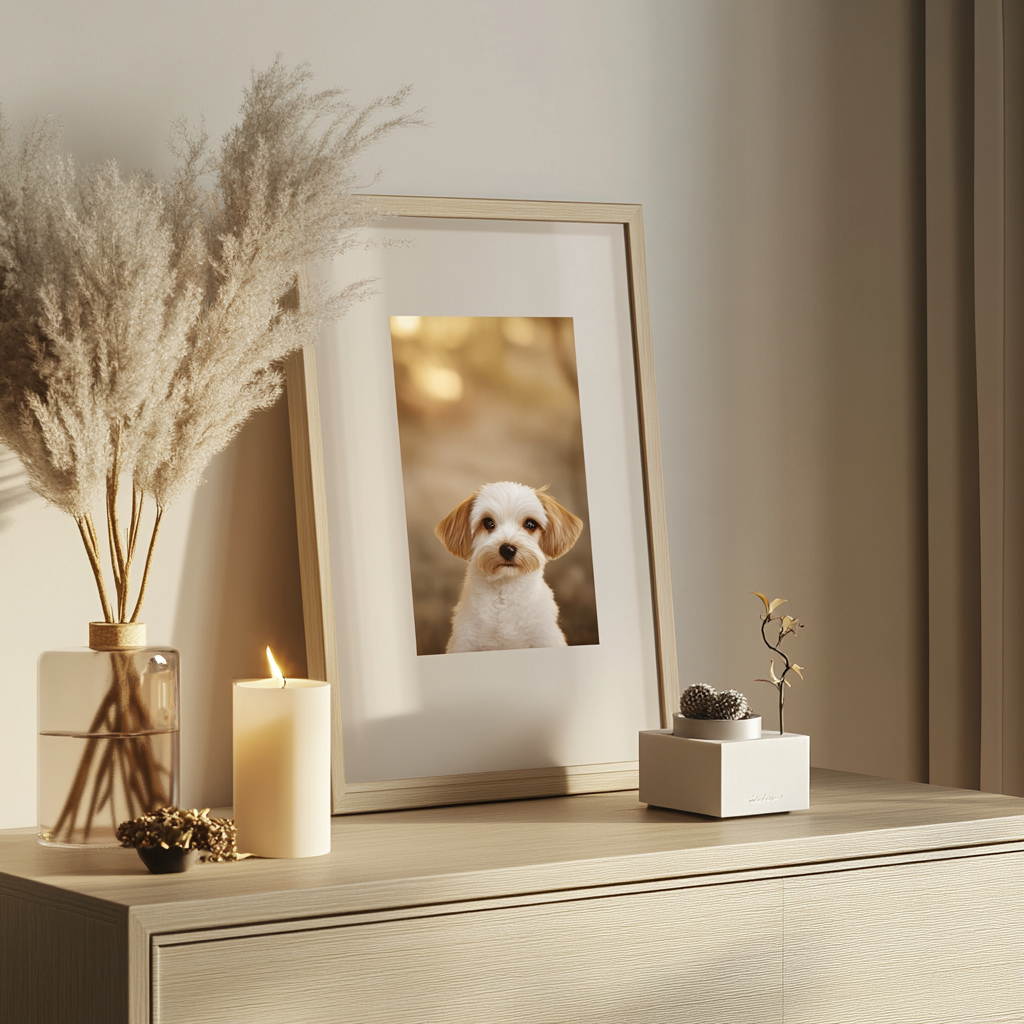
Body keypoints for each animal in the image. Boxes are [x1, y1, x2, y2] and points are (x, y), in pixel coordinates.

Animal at [436, 481, 585, 655]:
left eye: (530, 524)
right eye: (488, 523)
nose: (507, 549)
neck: (505, 593)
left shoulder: (545, 636)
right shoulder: (465, 640)